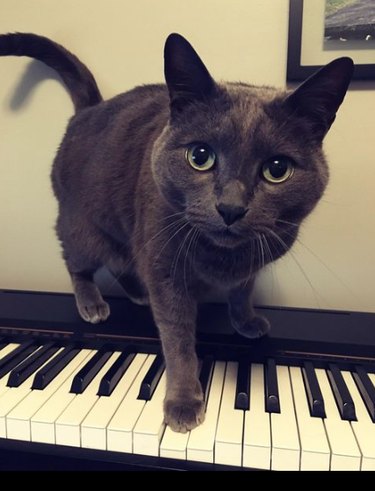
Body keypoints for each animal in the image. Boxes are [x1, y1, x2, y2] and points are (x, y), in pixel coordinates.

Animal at [0, 32, 354, 434]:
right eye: (200, 156)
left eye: (277, 169)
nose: (230, 207)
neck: (223, 257)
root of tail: (90, 110)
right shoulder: (166, 268)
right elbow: (178, 339)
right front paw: (184, 402)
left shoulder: (251, 259)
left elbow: (241, 291)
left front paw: (246, 321)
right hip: (83, 226)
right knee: (77, 261)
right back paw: (92, 303)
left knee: (123, 261)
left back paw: (139, 294)